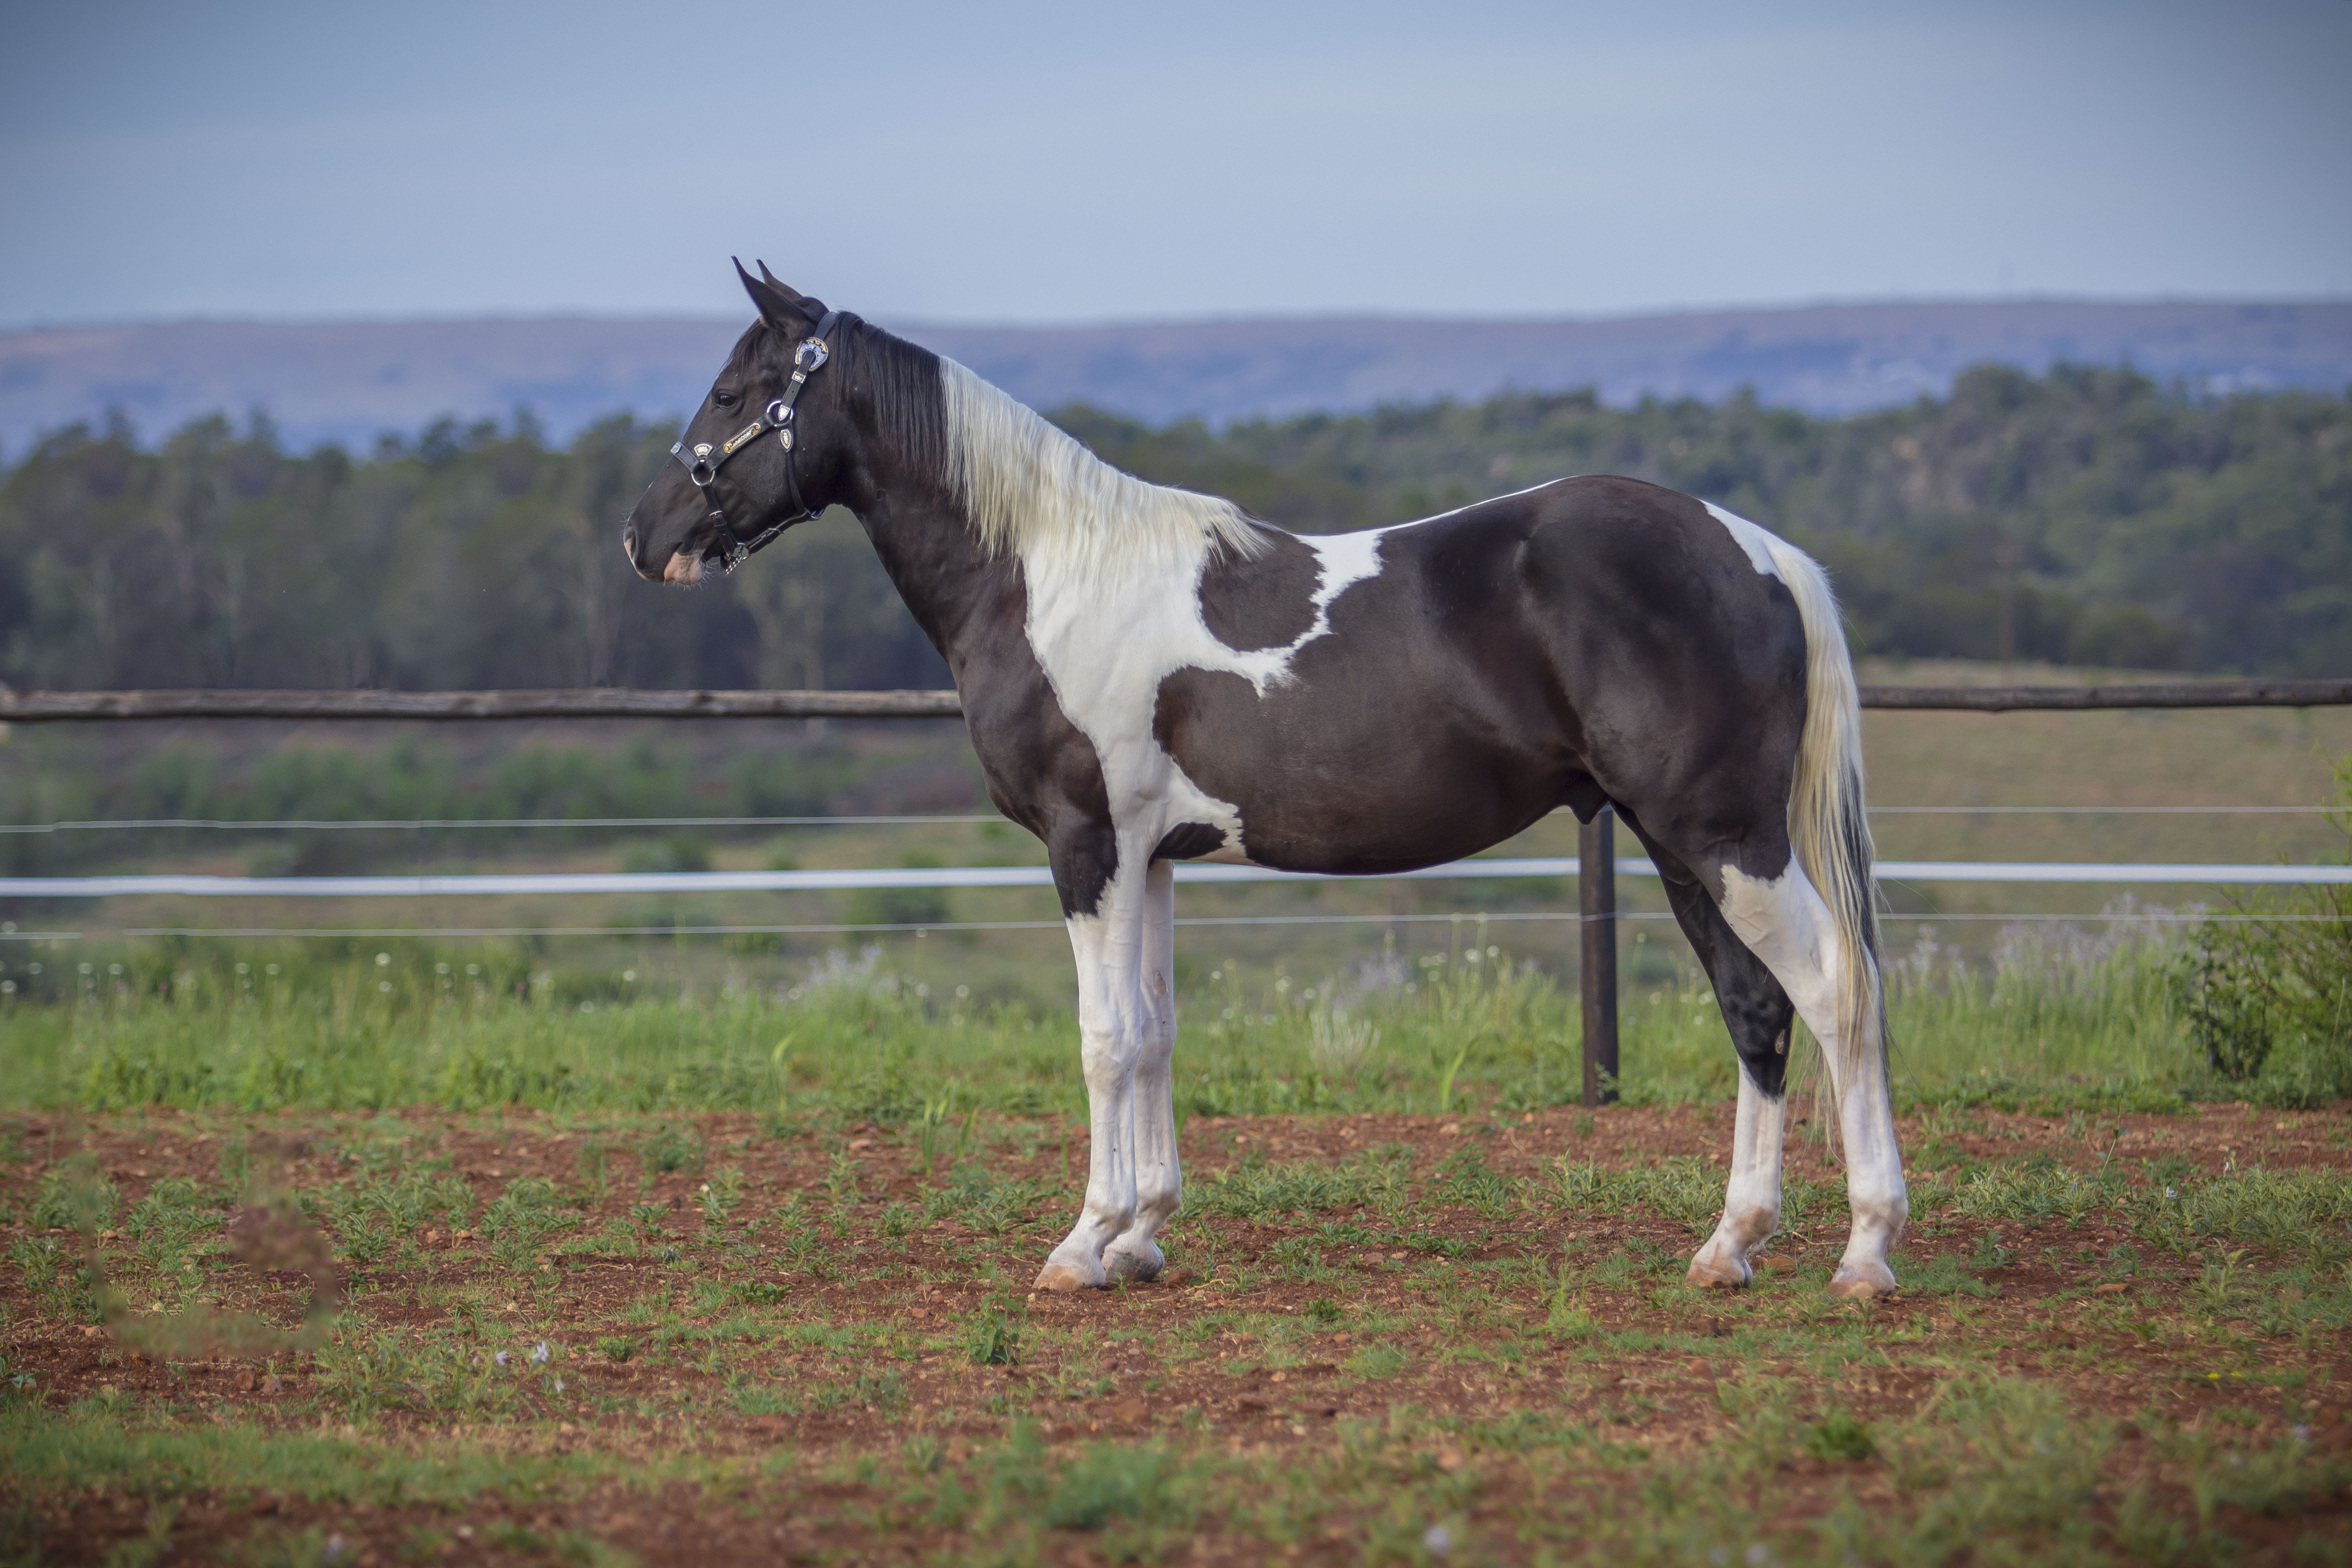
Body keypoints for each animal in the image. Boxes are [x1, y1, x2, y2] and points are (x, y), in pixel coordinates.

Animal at [625, 267, 1910, 1298]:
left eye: (737, 393)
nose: (646, 536)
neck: (1043, 579)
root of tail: (1757, 550)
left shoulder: (1086, 845)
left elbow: (1104, 1037)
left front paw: (1081, 1243)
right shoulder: (1151, 859)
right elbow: (1154, 1031)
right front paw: (1141, 1236)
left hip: (1725, 836)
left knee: (1836, 990)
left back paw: (1863, 1252)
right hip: (1678, 838)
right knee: (1756, 1009)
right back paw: (1729, 1246)